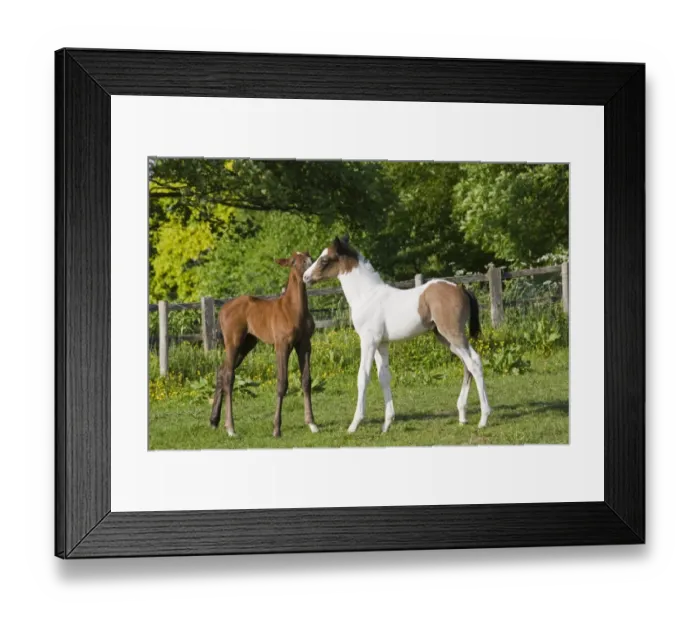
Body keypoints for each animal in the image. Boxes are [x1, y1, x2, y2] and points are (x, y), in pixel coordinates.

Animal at [210, 251, 318, 438]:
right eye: (294, 262)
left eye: (310, 258)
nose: (308, 274)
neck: (294, 310)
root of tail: (223, 309)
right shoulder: (282, 346)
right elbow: (282, 383)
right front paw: (276, 428)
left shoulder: (304, 345)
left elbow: (306, 381)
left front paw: (311, 424)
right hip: (233, 343)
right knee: (229, 376)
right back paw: (231, 428)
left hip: (247, 345)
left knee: (221, 370)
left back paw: (214, 421)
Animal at [303, 236, 491, 433]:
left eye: (324, 259)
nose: (305, 277)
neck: (366, 296)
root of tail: (460, 288)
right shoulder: (381, 343)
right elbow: (384, 377)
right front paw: (387, 423)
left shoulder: (368, 341)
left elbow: (363, 376)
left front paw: (354, 424)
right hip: (446, 338)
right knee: (467, 364)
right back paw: (462, 415)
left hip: (453, 334)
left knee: (474, 363)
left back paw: (483, 418)